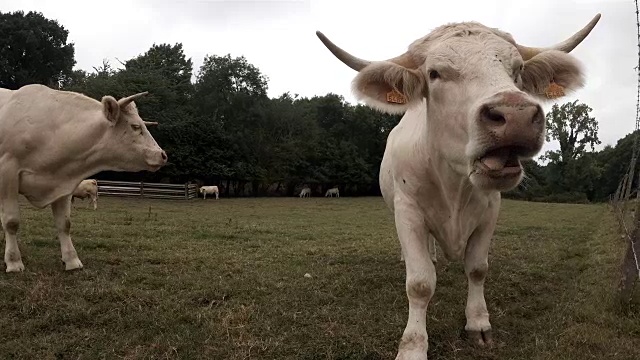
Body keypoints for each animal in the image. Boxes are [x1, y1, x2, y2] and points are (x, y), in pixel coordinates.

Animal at [0, 83, 168, 272]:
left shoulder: (63, 180)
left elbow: (64, 224)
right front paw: (14, 261)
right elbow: (11, 222)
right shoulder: (7, 172)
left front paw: (71, 260)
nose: (162, 155)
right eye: (135, 126)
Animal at [318, 12, 604, 358]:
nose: (516, 115)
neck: (453, 183)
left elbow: (477, 268)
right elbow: (419, 283)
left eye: (517, 71)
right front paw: (413, 345)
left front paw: (478, 323)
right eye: (434, 73)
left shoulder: (490, 211)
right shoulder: (408, 212)